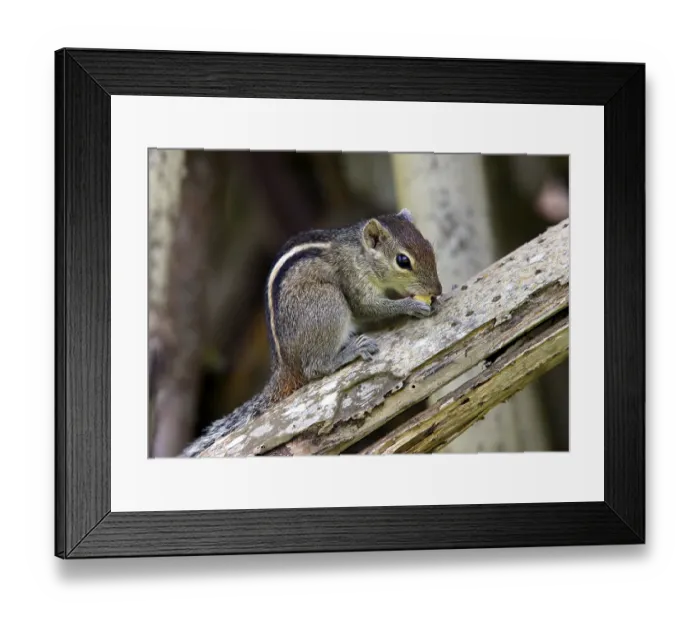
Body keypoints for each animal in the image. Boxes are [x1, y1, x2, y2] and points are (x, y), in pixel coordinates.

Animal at [181, 208, 443, 457]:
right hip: (328, 304)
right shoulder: (353, 281)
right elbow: (367, 307)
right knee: (315, 368)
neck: (359, 253)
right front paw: (411, 306)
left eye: (429, 245)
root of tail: (285, 366)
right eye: (402, 260)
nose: (437, 289)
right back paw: (351, 351)